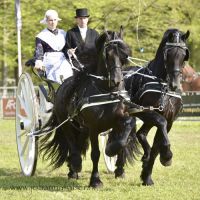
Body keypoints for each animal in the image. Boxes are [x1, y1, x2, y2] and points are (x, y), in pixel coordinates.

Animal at [39, 27, 139, 188]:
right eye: (107, 55)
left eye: (124, 55)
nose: (117, 81)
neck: (107, 92)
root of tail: (62, 86)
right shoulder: (93, 128)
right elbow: (95, 154)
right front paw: (95, 180)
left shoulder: (121, 118)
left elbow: (124, 137)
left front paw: (112, 153)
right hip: (67, 123)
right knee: (71, 143)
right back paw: (75, 165)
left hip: (81, 127)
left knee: (78, 143)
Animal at [114, 27, 189, 184]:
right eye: (168, 54)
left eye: (184, 55)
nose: (174, 84)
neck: (163, 86)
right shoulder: (144, 111)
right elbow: (160, 124)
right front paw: (166, 156)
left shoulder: (170, 119)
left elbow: (156, 146)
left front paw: (147, 176)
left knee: (138, 134)